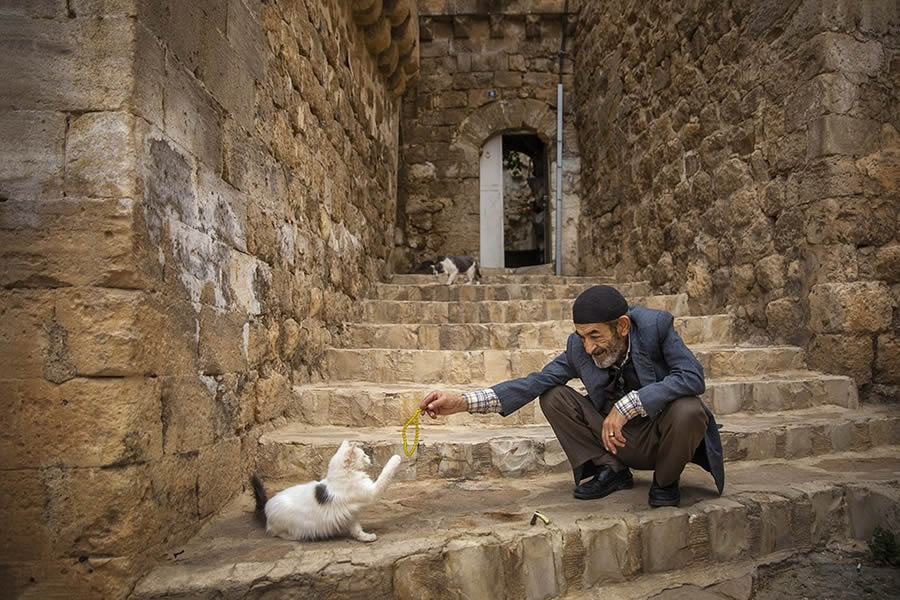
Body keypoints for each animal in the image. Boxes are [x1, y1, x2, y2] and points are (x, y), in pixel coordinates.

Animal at [248, 440, 400, 544]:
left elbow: (356, 529)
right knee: (279, 533)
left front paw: (365, 537)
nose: (369, 458)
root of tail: (266, 506)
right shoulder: (371, 492)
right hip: (287, 525)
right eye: (363, 456)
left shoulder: (350, 514)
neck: (340, 476)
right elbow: (385, 473)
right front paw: (396, 457)